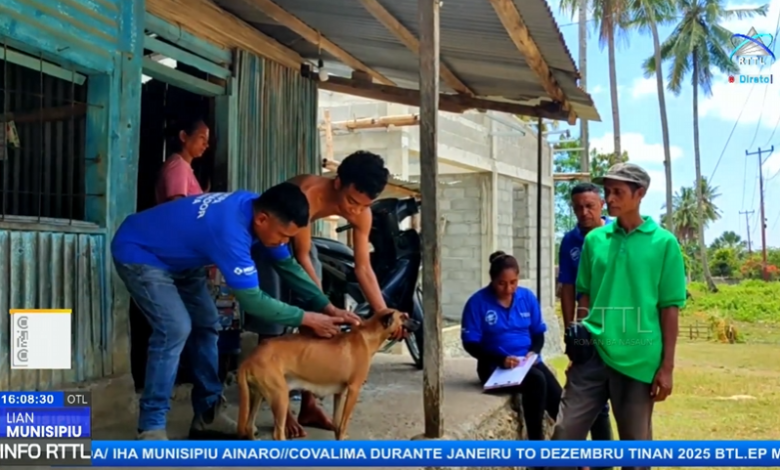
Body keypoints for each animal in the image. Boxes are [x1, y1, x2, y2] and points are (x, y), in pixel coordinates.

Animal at [236, 309, 421, 441]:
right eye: (403, 317)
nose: (419, 322)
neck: (367, 336)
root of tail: (250, 358)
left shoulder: (339, 393)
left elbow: (338, 425)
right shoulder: (354, 390)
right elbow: (344, 424)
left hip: (258, 395)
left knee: (249, 426)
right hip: (279, 396)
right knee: (277, 434)